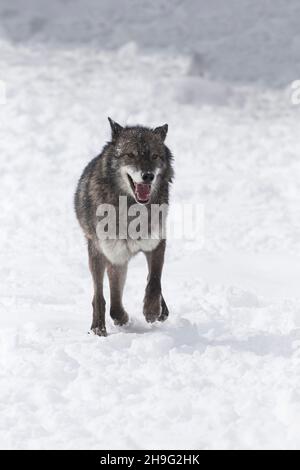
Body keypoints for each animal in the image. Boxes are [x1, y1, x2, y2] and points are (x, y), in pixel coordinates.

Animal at [74, 119, 175, 336]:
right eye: (131, 155)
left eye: (155, 156)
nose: (148, 176)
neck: (131, 208)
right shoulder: (109, 254)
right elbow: (107, 300)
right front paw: (111, 323)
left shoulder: (156, 244)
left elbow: (154, 281)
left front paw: (152, 310)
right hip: (104, 255)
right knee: (104, 296)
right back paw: (106, 323)